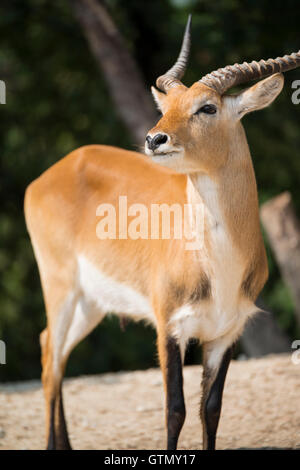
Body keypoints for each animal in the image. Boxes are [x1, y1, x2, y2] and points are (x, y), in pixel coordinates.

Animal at [24, 15, 300, 452]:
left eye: (207, 107)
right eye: (166, 107)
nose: (154, 139)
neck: (220, 267)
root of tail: (64, 164)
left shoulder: (226, 334)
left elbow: (211, 411)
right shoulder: (168, 327)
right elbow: (175, 411)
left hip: (91, 302)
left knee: (54, 348)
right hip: (60, 286)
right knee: (51, 359)